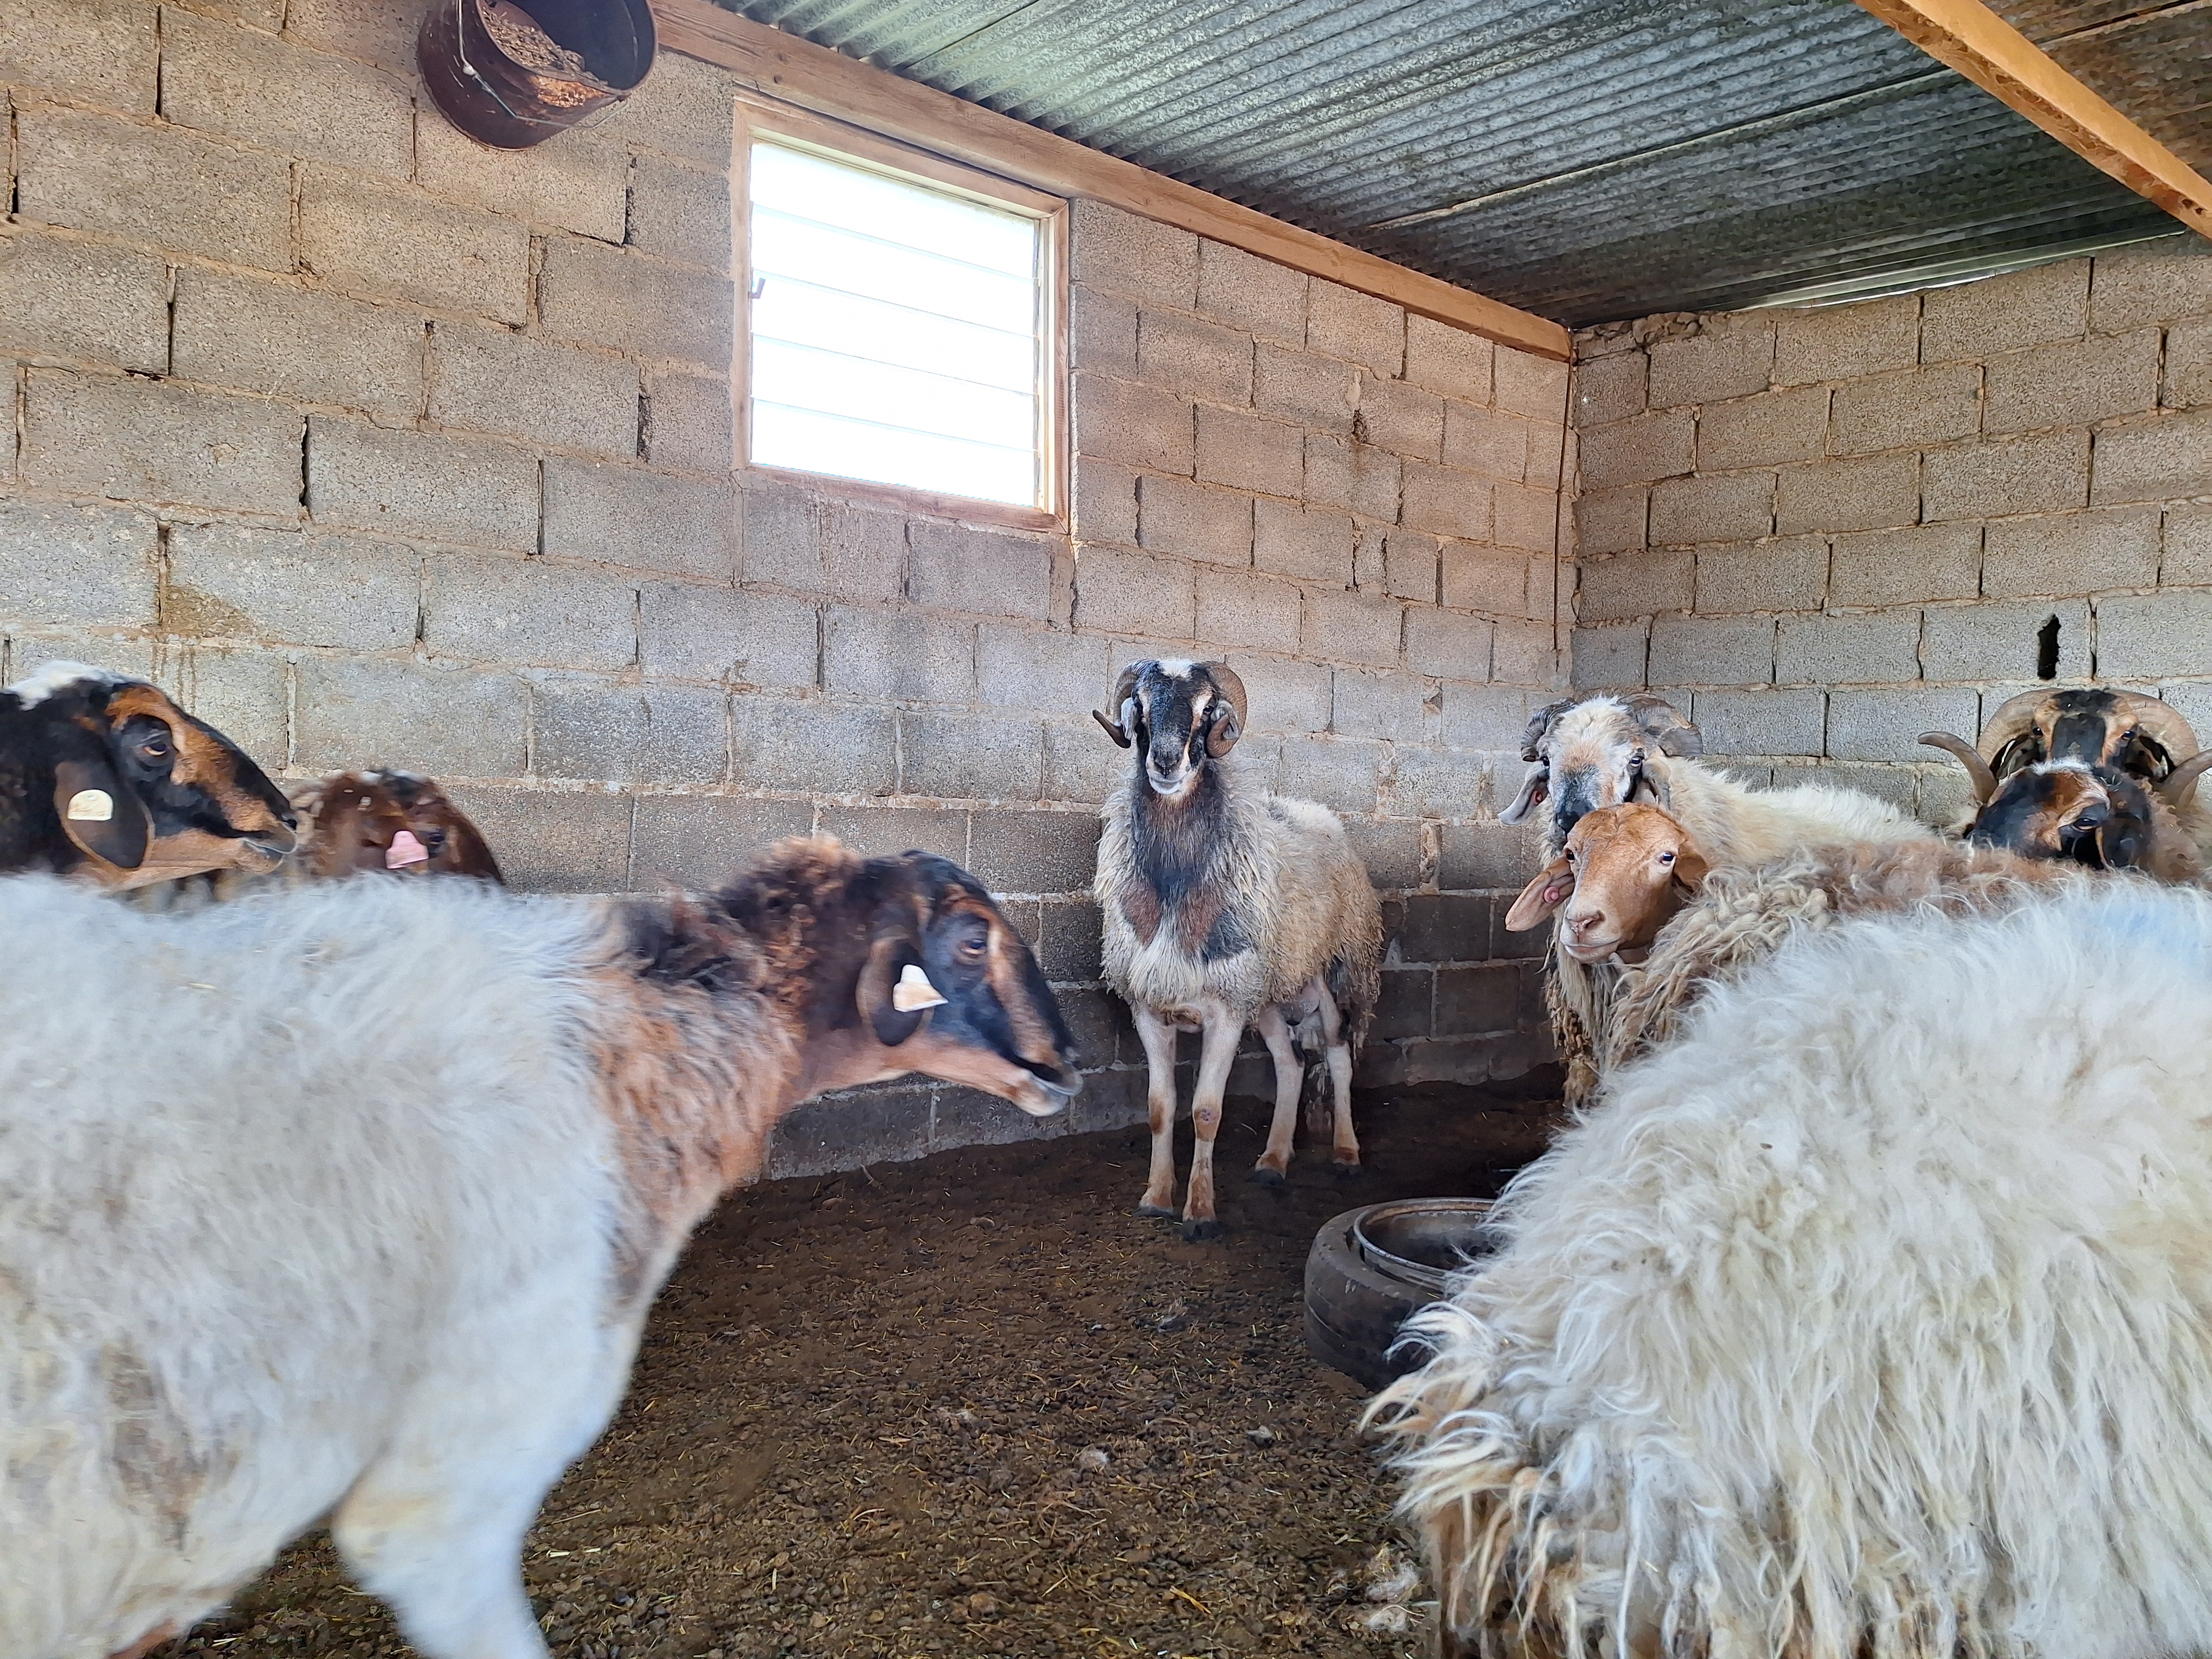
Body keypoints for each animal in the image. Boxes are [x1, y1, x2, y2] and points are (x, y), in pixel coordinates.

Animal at [1092, 658, 1382, 1241]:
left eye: (1208, 711)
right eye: (1142, 705)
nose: (1165, 762)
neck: (1175, 882)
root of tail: (1316, 813)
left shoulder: (1224, 1010)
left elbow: (1206, 1111)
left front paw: (1200, 1214)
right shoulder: (1149, 1007)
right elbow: (1160, 1107)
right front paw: (1156, 1198)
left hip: (1338, 976)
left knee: (1338, 1058)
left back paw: (1345, 1152)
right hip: (1268, 992)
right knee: (1291, 1064)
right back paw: (1272, 1162)